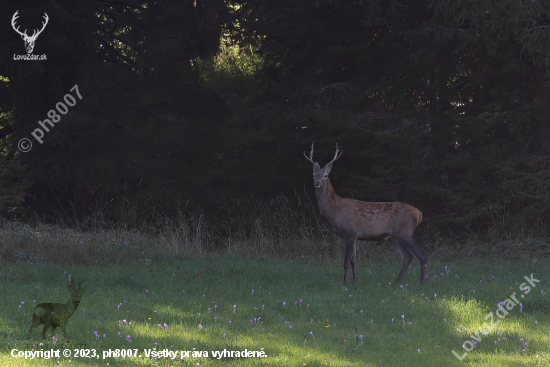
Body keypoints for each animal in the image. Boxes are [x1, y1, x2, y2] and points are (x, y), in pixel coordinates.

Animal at [306, 143, 426, 284]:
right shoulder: (354, 236)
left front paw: (345, 283)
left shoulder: (351, 232)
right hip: (394, 237)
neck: (335, 212)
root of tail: (419, 214)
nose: (317, 182)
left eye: (325, 175)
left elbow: (346, 262)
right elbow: (353, 261)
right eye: (313, 174)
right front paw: (355, 281)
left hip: (406, 233)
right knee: (407, 257)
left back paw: (422, 282)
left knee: (421, 254)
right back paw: (397, 282)